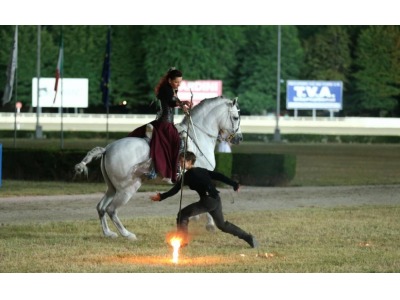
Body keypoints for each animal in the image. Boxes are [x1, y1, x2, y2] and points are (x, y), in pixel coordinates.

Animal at [75, 96, 244, 241]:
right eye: (236, 117)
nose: (239, 138)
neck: (198, 137)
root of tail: (107, 148)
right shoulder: (205, 177)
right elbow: (209, 196)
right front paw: (210, 224)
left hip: (112, 188)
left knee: (101, 207)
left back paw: (108, 233)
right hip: (127, 189)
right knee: (111, 210)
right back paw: (127, 234)